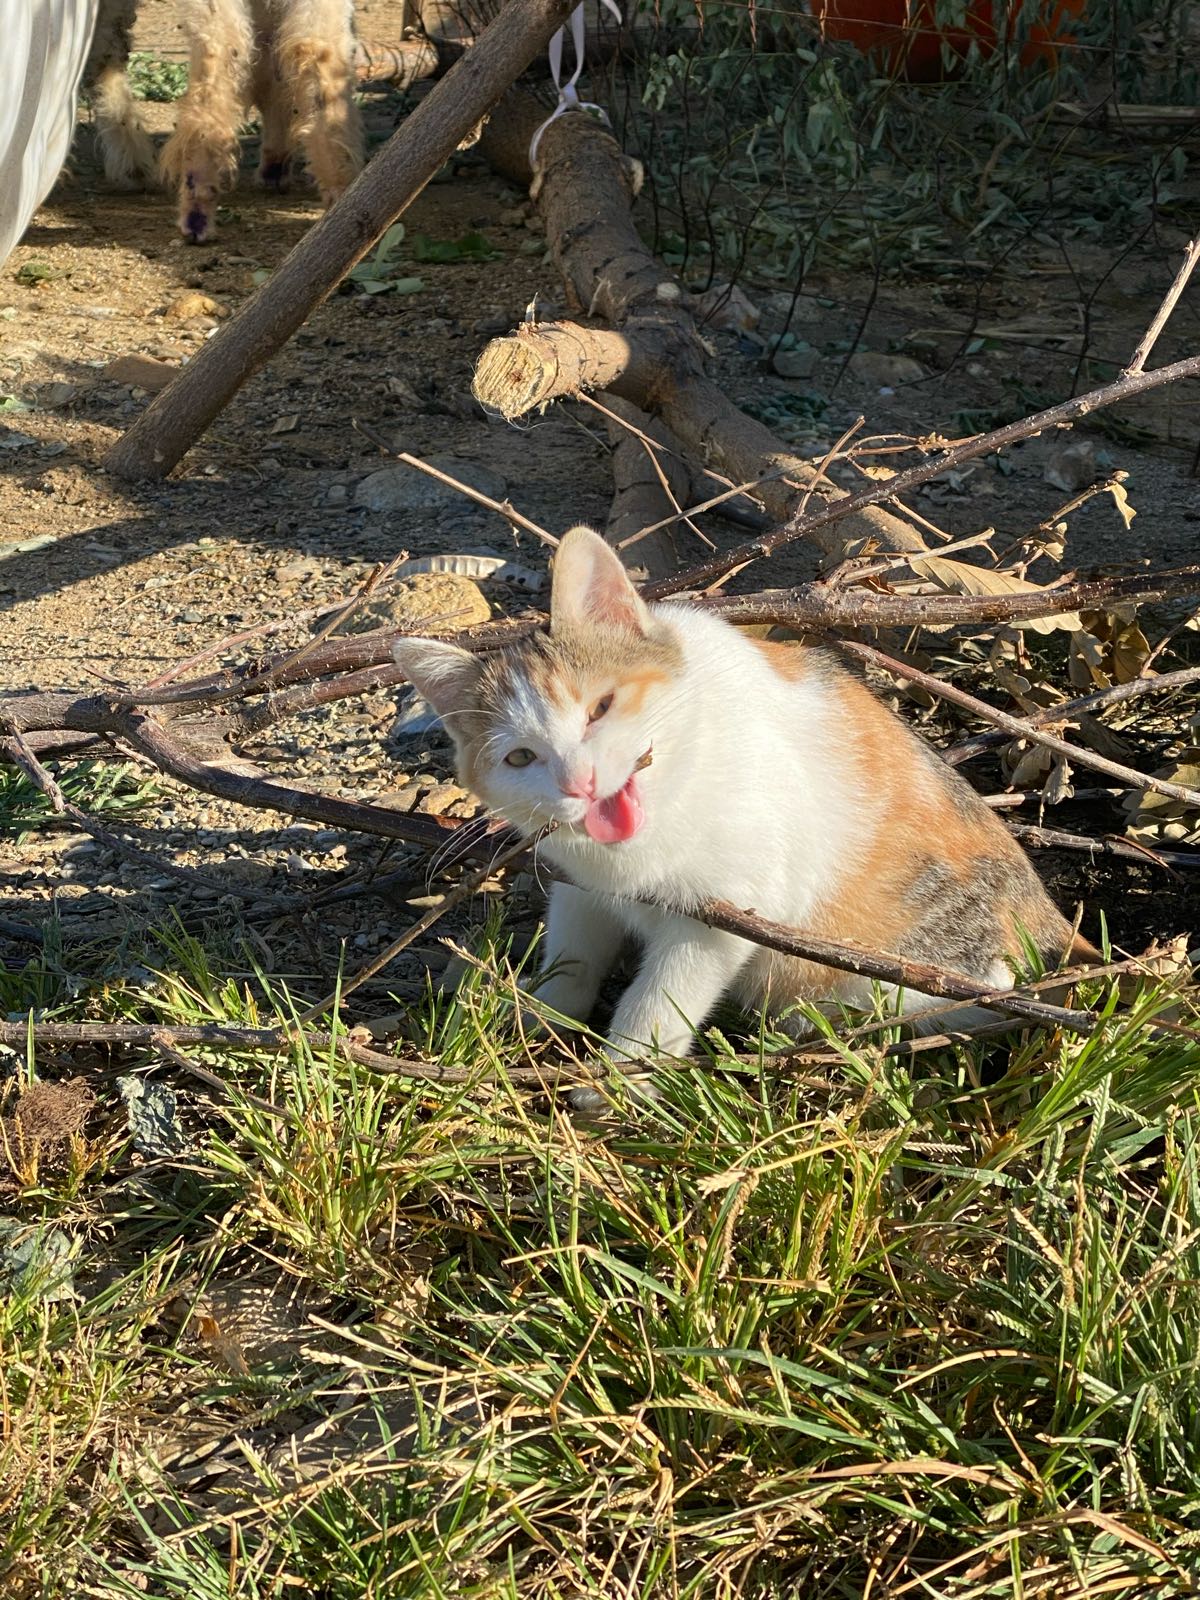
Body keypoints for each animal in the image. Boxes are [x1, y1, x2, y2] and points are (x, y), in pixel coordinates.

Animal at [396, 531, 1100, 1081]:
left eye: (601, 707)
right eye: (520, 758)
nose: (581, 782)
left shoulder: (727, 907)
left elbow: (659, 1000)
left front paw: (619, 1080)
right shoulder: (579, 881)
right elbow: (575, 950)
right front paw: (539, 1012)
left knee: (980, 995)